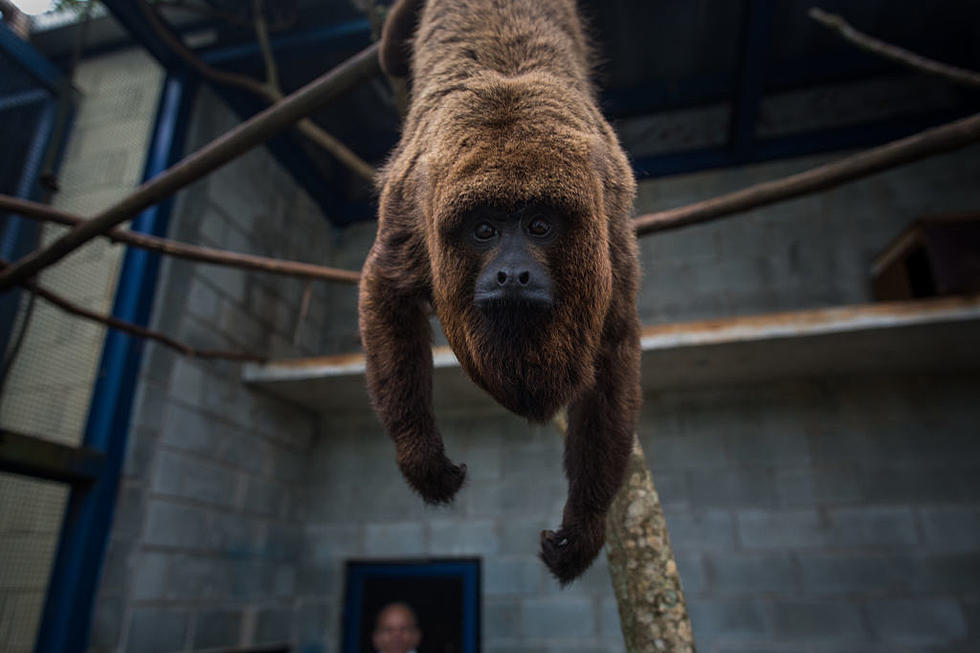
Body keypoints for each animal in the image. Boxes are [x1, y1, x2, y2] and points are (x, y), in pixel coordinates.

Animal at [360, 0, 644, 580]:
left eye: (539, 225)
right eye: (485, 230)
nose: (512, 273)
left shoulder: (613, 237)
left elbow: (615, 348)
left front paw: (585, 526)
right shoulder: (412, 208)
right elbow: (385, 289)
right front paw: (421, 455)